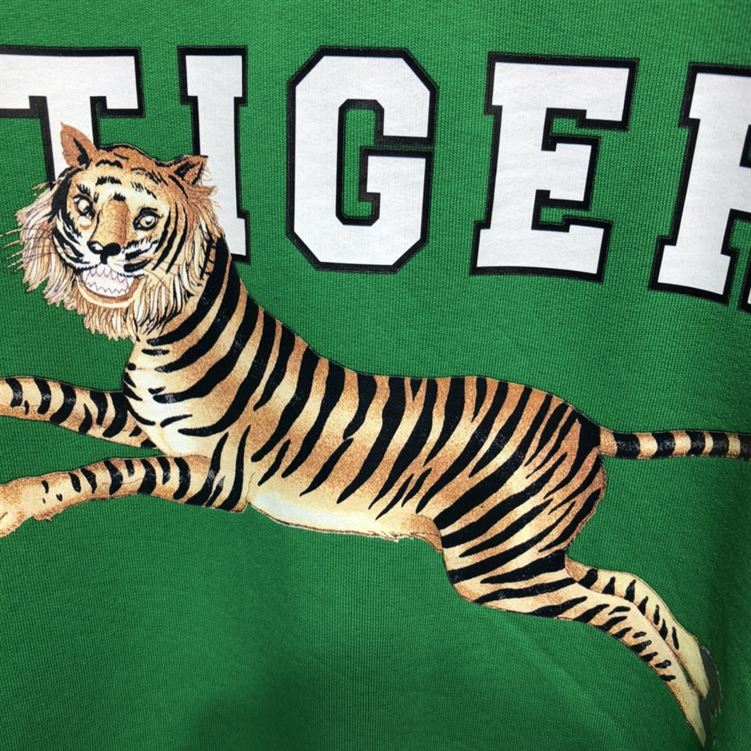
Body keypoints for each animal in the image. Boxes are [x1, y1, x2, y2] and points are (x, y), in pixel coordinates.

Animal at [0, 123, 741, 747]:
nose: (103, 252)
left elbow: (98, 472)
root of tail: (588, 425)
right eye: (86, 204)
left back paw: (694, 711)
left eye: (147, 217)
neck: (161, 331)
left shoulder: (213, 477)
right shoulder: (140, 421)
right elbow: (42, 392)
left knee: (619, 609)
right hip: (525, 554)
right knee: (627, 585)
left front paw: (10, 504)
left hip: (495, 567)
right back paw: (706, 678)